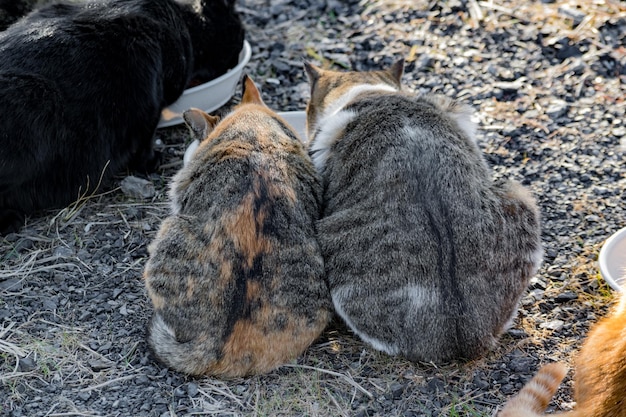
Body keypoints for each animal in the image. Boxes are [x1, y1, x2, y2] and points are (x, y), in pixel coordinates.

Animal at [0, 0, 244, 234]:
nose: (236, 61)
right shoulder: (150, 105)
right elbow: (145, 141)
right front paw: (152, 161)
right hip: (37, 98)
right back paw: (10, 220)